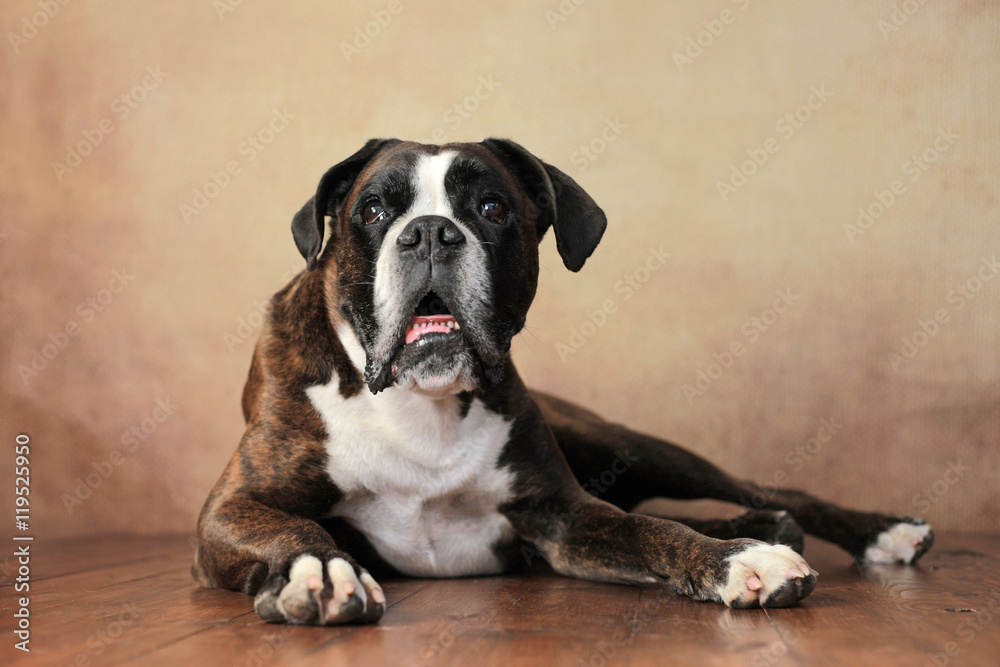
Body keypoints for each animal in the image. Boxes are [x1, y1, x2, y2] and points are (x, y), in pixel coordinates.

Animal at [191, 138, 932, 624]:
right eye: (372, 212)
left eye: (492, 207)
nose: (430, 231)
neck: (419, 402)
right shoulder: (228, 511)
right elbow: (289, 526)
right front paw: (317, 568)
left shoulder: (564, 516)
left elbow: (654, 530)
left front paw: (740, 562)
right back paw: (767, 526)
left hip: (629, 446)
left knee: (764, 489)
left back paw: (876, 531)